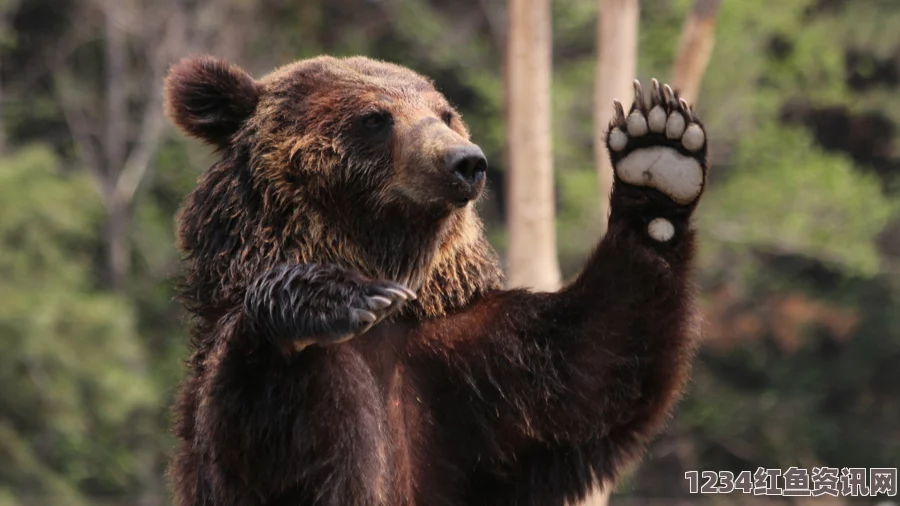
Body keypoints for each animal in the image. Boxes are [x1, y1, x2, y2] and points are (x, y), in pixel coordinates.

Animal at [165, 55, 708, 506]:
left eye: (445, 113)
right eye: (375, 117)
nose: (465, 161)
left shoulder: (463, 374)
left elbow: (591, 368)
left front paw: (659, 151)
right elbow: (260, 455)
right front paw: (328, 300)